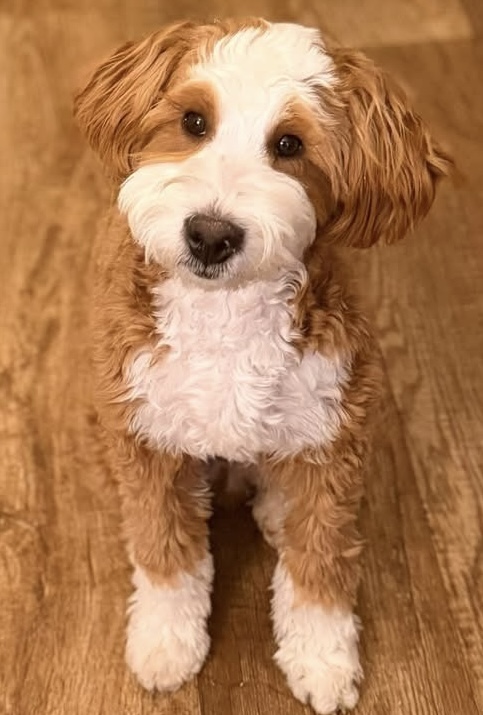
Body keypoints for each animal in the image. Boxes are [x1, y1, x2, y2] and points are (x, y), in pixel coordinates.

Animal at [74, 18, 450, 714]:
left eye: (289, 144)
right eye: (193, 121)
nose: (210, 235)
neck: (226, 313)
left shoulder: (332, 437)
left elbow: (321, 563)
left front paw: (322, 660)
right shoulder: (148, 440)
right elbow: (165, 551)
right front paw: (165, 643)